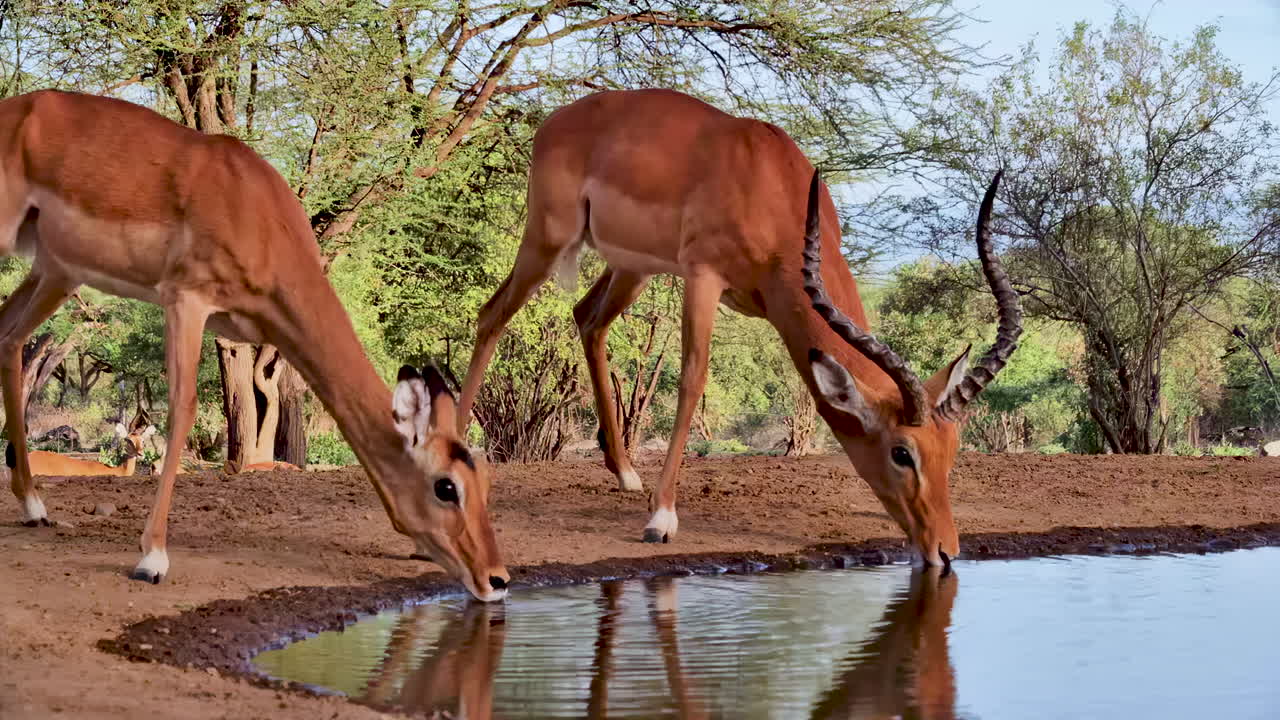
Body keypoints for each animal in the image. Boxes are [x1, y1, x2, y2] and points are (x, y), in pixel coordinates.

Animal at [458, 89, 1020, 565]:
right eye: (902, 452)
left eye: (952, 449)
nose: (945, 550)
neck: (771, 184)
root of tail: (556, 120)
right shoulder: (703, 276)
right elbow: (692, 378)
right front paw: (661, 519)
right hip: (547, 240)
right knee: (491, 315)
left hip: (632, 269)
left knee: (586, 319)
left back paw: (625, 473)